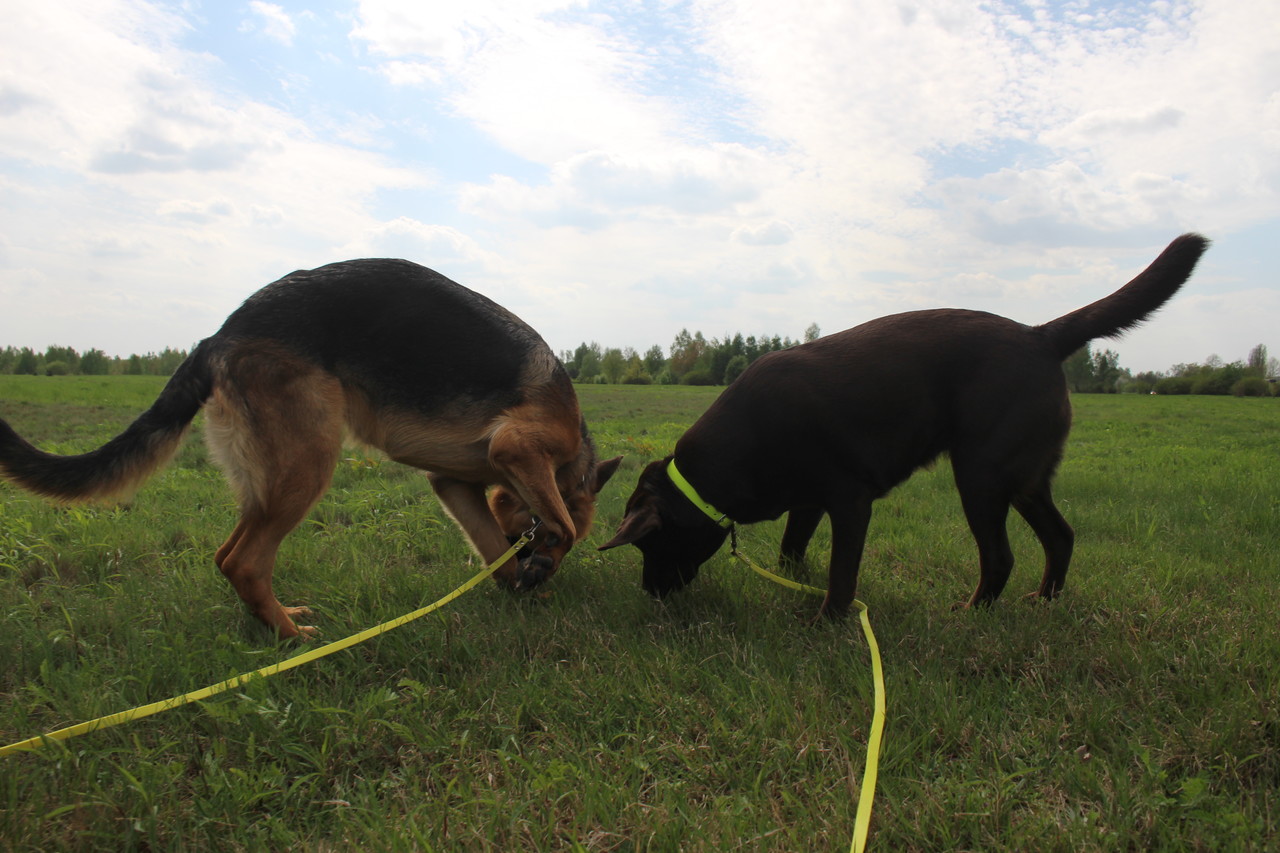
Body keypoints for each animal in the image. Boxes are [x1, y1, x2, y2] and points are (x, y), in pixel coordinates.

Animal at [0, 259, 620, 638]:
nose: (544, 574)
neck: (572, 454)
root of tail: (219, 336)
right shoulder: (519, 449)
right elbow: (562, 522)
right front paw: (541, 562)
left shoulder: (455, 484)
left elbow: (496, 549)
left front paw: (522, 585)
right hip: (310, 463)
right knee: (246, 561)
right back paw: (292, 638)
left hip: (269, 481)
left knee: (227, 556)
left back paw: (273, 622)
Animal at [601, 234, 1209, 616]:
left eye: (648, 546)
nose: (650, 595)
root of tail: (1040, 334)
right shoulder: (808, 500)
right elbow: (791, 552)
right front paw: (797, 586)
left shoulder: (849, 501)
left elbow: (841, 576)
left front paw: (827, 620)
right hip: (1026, 478)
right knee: (1061, 535)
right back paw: (1045, 602)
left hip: (982, 474)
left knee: (1000, 557)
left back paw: (972, 613)